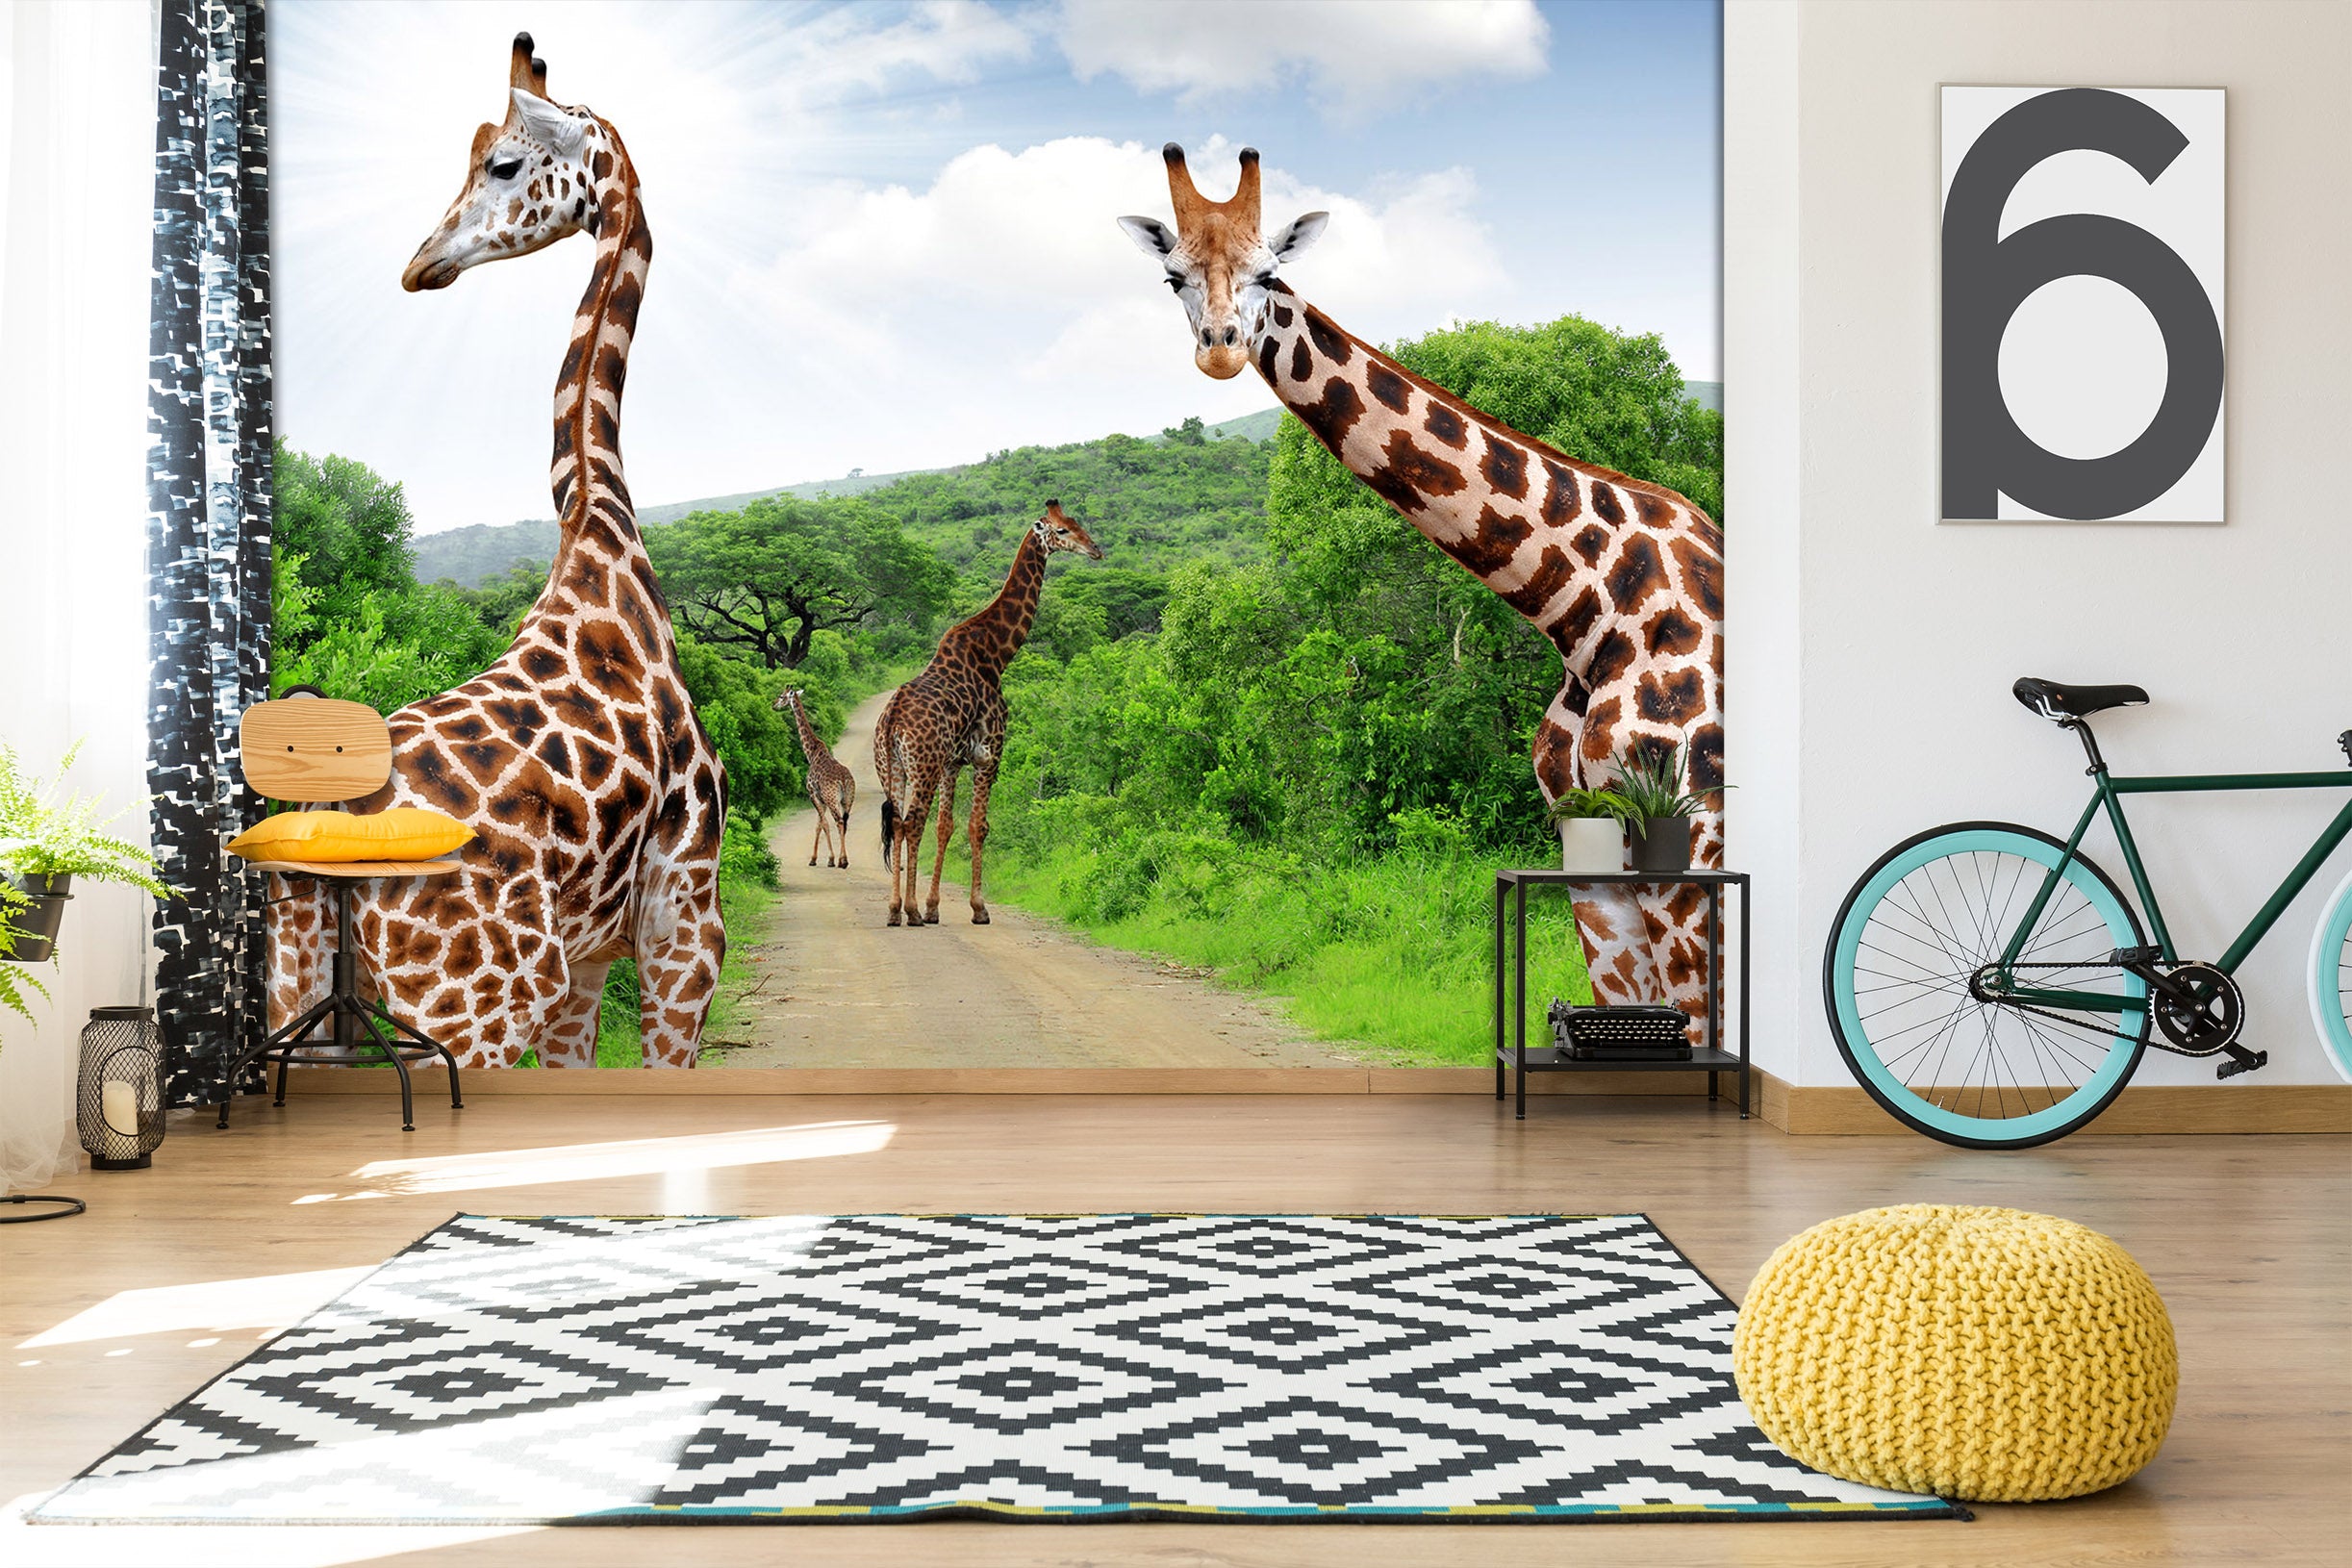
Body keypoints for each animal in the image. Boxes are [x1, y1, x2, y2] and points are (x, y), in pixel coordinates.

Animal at [265, 34, 727, 1070]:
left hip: (302, 982)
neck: (601, 530)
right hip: (471, 1009)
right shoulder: (687, 920)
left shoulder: (594, 958)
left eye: (505, 164)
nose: (420, 264)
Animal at [774, 688, 855, 869]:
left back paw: (843, 861)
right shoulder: (822, 799)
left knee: (839, 822)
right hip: (847, 800)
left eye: (782, 696)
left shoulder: (813, 794)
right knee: (845, 822)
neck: (811, 753)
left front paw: (830, 859)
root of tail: (844, 780)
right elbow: (818, 825)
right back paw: (844, 859)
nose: (773, 705)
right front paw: (814, 858)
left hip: (833, 799)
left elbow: (823, 824)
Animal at [874, 501, 1104, 928]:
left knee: (897, 823)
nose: (1096, 550)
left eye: (1077, 522)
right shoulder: (989, 754)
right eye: (1062, 530)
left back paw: (896, 909)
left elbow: (946, 826)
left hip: (892, 767)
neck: (996, 655)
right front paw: (978, 908)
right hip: (923, 766)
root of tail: (892, 720)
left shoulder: (953, 762)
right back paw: (909, 911)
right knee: (912, 823)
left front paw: (934, 907)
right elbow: (977, 826)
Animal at [1119, 145, 1724, 1028]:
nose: (1221, 348)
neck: (1589, 605)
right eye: (1173, 278)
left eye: (1270, 272)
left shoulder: (1693, 843)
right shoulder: (1590, 856)